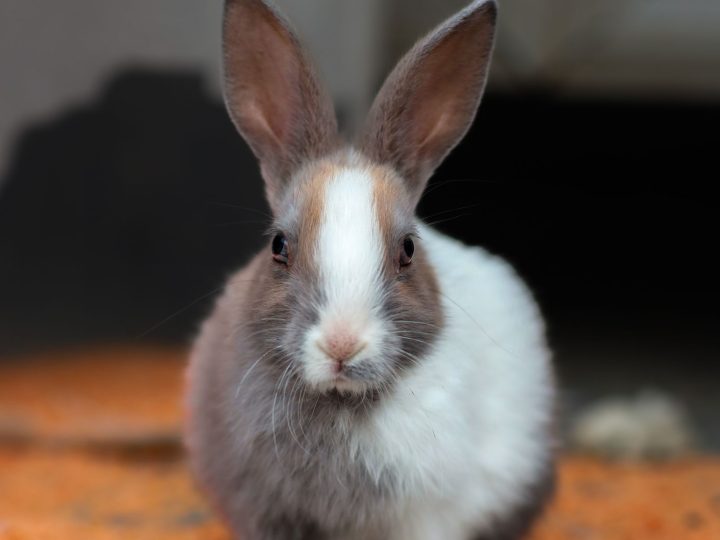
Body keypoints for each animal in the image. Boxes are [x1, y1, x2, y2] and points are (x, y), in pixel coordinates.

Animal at [184, 0, 556, 539]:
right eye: (279, 246)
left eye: (408, 249)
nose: (342, 344)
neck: (338, 401)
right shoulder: (262, 508)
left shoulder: (427, 517)